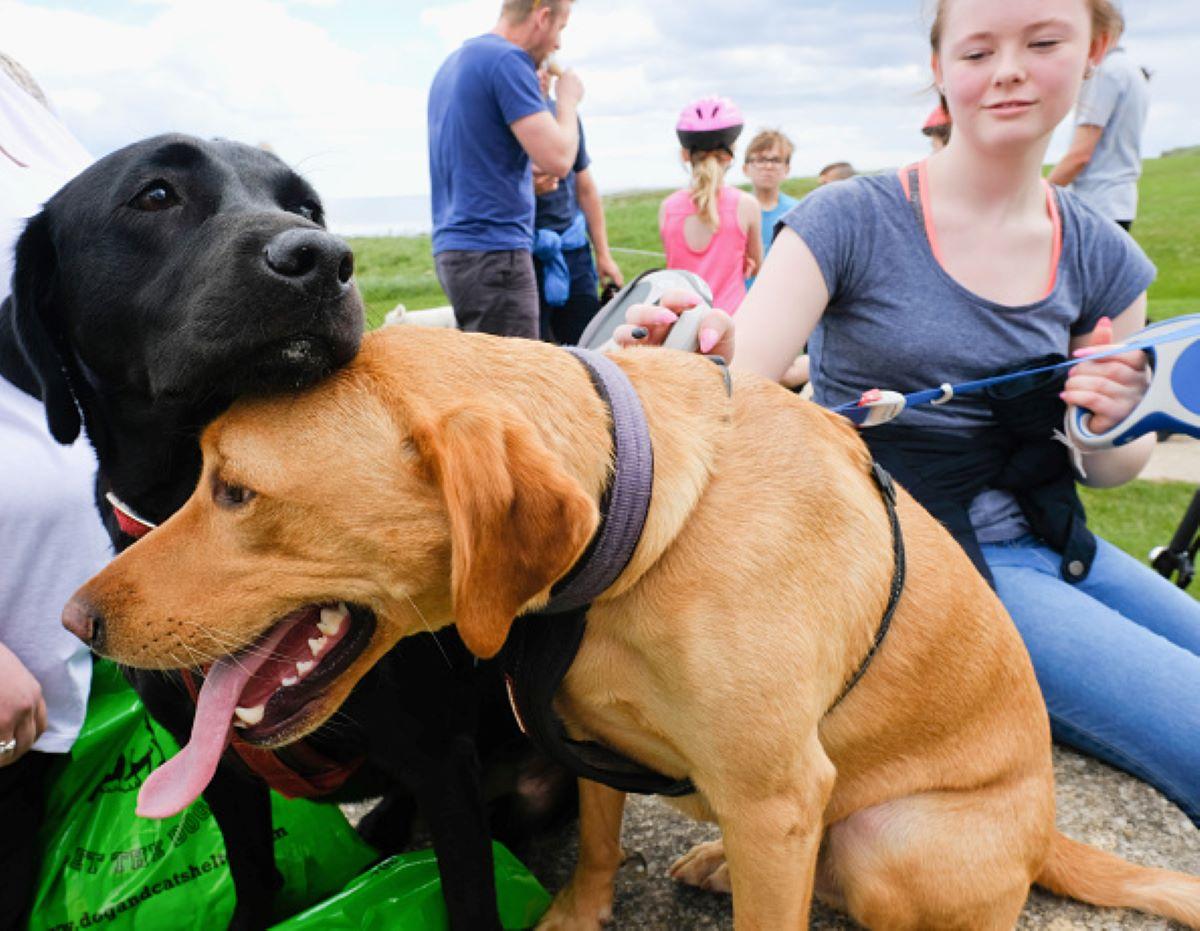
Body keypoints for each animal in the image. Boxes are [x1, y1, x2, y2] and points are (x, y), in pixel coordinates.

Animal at [0, 136, 571, 931]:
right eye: (155, 194)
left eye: (306, 207)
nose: (324, 257)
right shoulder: (216, 769)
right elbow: (254, 872)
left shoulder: (442, 758)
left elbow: (468, 898)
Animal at [68, 326, 1200, 921]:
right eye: (203, 471)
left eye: (235, 490)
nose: (77, 619)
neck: (643, 535)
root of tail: (1047, 835)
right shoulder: (590, 739)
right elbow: (603, 846)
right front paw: (581, 909)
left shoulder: (778, 792)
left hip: (897, 838)